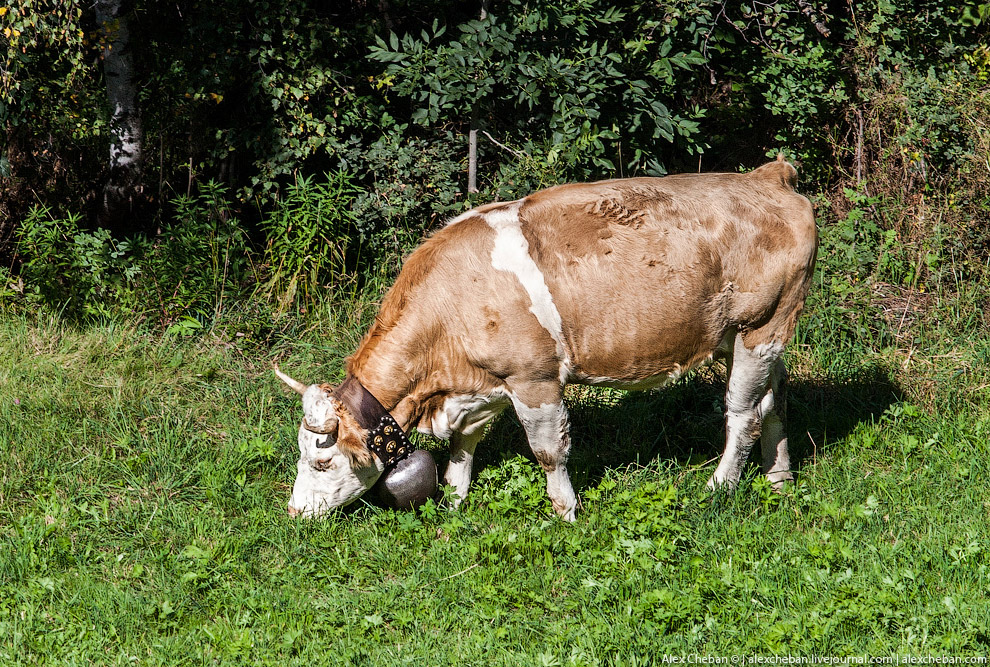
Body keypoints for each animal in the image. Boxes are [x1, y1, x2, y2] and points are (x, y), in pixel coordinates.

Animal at [276, 158, 816, 520]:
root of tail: (766, 176)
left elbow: (548, 452)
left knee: (743, 415)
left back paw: (718, 487)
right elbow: (465, 444)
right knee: (776, 399)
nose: (295, 511)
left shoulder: (534, 380)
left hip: (758, 330)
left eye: (322, 461)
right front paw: (454, 500)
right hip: (757, 337)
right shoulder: (486, 383)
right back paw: (780, 478)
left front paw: (566, 512)